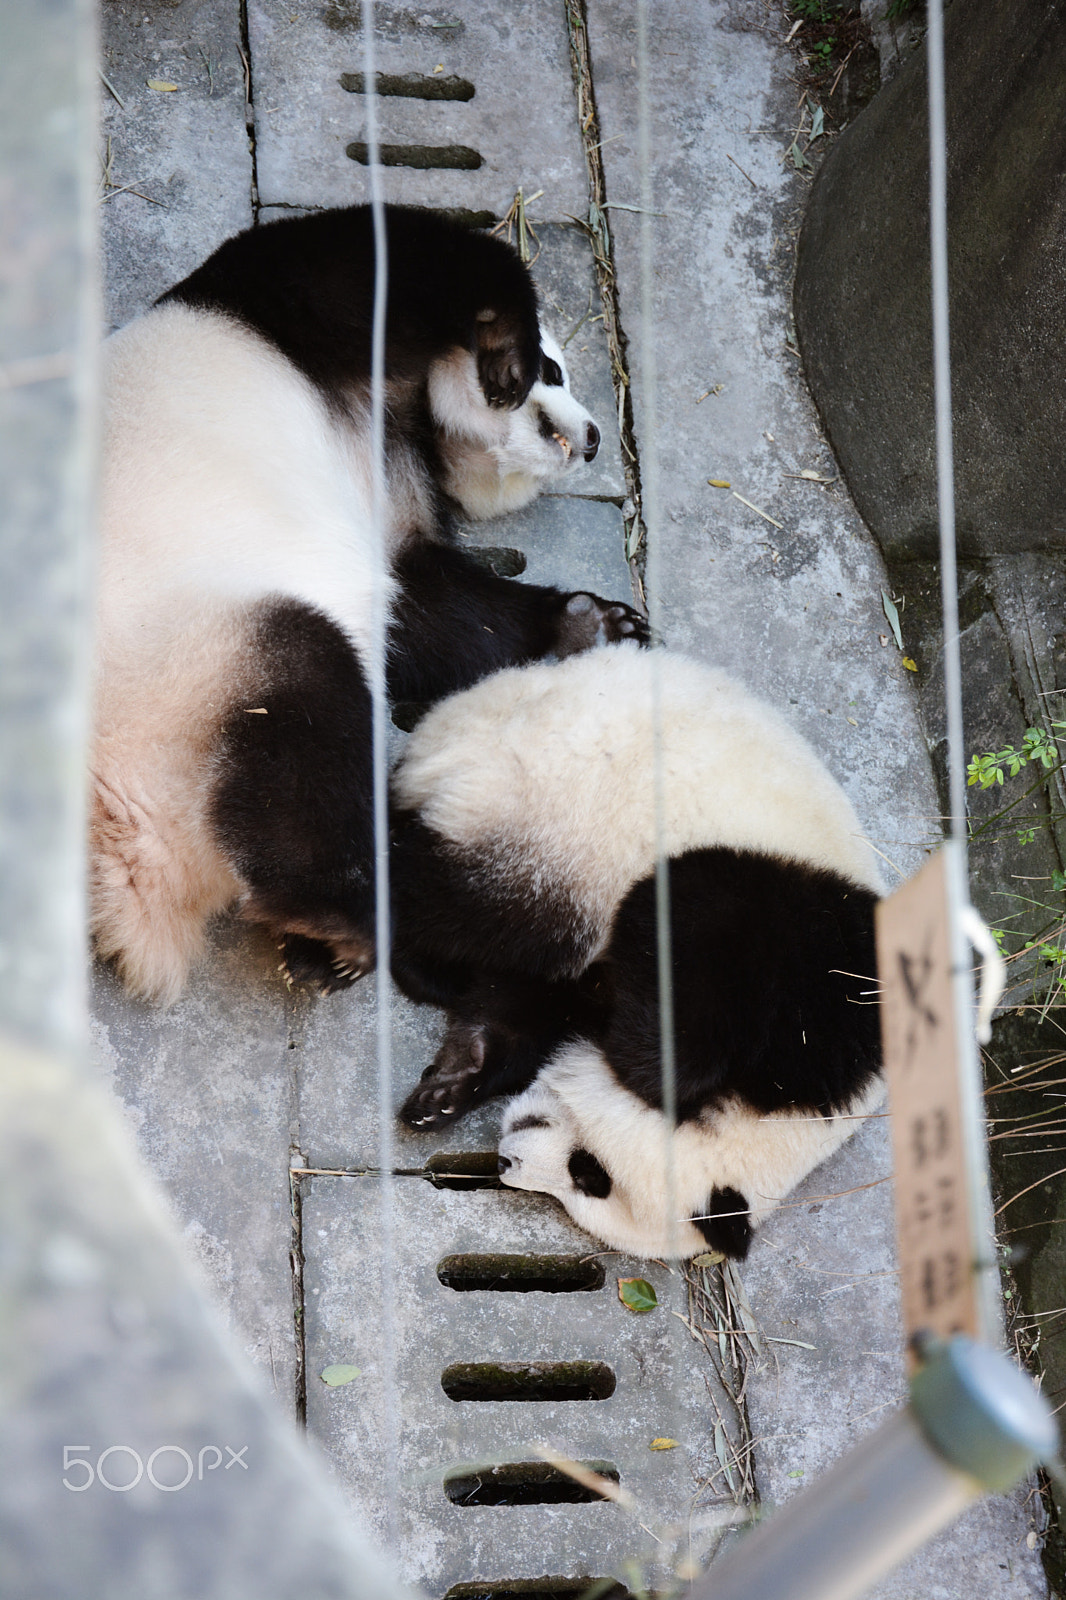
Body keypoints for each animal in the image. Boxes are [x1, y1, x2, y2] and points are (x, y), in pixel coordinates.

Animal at [91, 205, 647, 1004]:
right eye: (555, 371)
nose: (596, 438)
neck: (406, 403)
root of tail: (122, 840)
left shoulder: (389, 473)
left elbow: (421, 605)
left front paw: (597, 624)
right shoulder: (308, 312)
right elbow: (400, 253)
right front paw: (500, 364)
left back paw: (332, 941)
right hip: (178, 666)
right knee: (308, 711)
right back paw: (343, 923)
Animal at [388, 642, 885, 1259]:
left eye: (584, 1181)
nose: (507, 1163)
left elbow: (521, 1008)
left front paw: (452, 1085)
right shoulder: (804, 958)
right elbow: (689, 957)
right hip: (556, 809)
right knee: (476, 905)